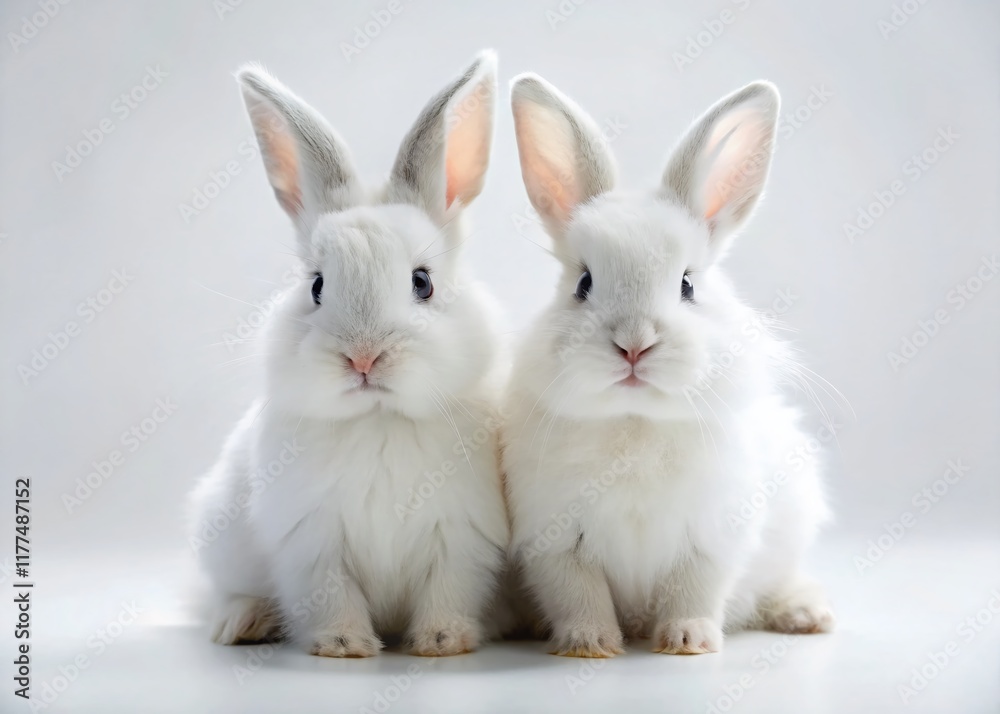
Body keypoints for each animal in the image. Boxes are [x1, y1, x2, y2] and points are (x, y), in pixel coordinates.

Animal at [188, 51, 511, 658]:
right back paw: (241, 623)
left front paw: (442, 641)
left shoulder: (460, 538)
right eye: (316, 286)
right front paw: (344, 646)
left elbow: (448, 590)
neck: (378, 419)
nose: (363, 358)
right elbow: (330, 594)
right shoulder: (311, 541)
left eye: (423, 282)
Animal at [501, 74, 835, 657]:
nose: (635, 345)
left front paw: (687, 640)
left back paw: (807, 614)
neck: (635, 422)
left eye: (687, 285)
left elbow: (694, 588)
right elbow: (578, 591)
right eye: (583, 283)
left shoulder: (713, 535)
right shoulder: (555, 538)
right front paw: (590, 644)